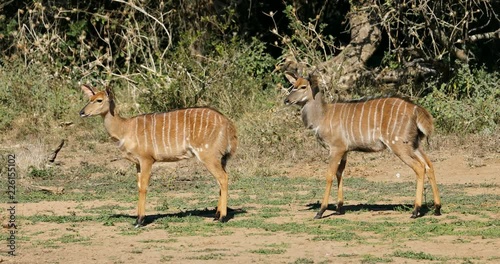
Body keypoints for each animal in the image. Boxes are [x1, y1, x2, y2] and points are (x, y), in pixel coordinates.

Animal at [79, 85, 238, 227]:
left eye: (99, 100)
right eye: (89, 98)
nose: (81, 112)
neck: (125, 129)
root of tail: (228, 124)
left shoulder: (147, 160)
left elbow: (143, 187)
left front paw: (140, 221)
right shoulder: (138, 163)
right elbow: (138, 186)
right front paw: (137, 219)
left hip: (208, 155)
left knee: (223, 178)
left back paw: (222, 217)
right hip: (220, 158)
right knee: (220, 180)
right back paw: (216, 215)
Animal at [284, 72, 444, 219]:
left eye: (303, 86)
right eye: (293, 85)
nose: (286, 100)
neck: (322, 115)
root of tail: (416, 110)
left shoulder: (336, 148)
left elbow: (329, 175)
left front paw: (321, 211)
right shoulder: (345, 151)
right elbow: (340, 173)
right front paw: (339, 208)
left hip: (399, 145)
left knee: (420, 167)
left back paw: (416, 211)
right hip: (414, 145)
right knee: (429, 165)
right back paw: (437, 208)